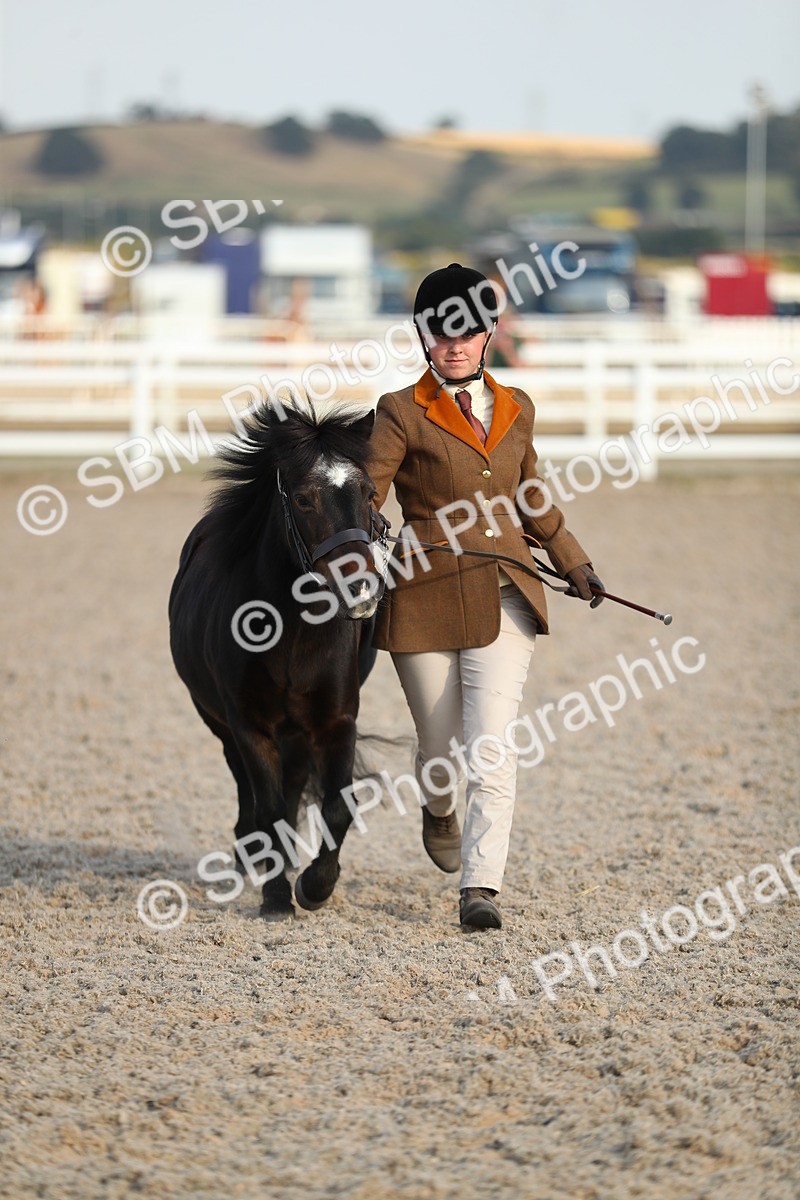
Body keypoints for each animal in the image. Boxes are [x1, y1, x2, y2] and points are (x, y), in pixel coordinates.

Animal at [168, 400, 387, 921]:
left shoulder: (336, 722)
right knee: (249, 792)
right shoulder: (249, 726)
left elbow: (336, 807)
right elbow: (265, 808)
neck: (292, 634)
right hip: (222, 724)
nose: (361, 590)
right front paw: (274, 897)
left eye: (369, 493)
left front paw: (314, 886)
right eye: (304, 499)